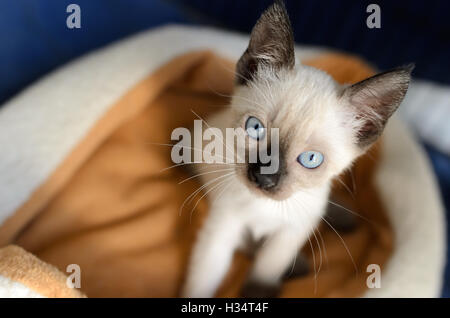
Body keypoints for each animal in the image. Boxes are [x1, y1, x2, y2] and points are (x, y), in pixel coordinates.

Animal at [181, 0, 414, 298]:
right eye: (255, 128)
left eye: (311, 159)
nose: (264, 178)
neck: (265, 209)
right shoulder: (223, 227)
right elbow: (203, 282)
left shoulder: (290, 232)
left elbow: (267, 268)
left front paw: (259, 291)